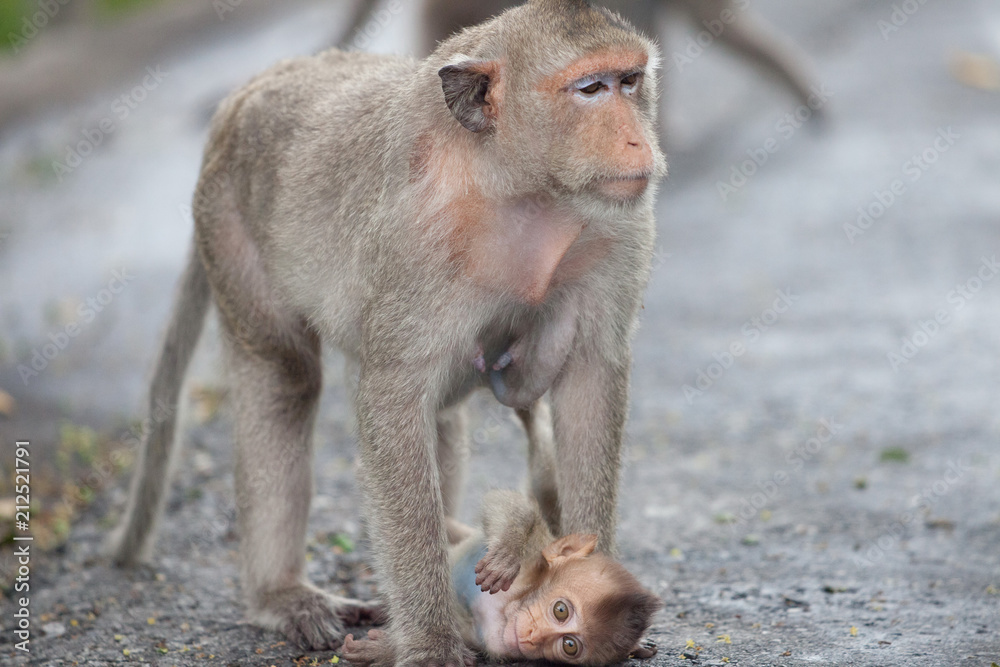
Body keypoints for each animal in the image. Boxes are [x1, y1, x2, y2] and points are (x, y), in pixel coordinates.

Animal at [346, 488, 664, 664]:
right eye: (561, 610)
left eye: (569, 646)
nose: (535, 638)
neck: (512, 604)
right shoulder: (534, 558)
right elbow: (508, 504)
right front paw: (507, 551)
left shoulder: (499, 643)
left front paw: (385, 650)